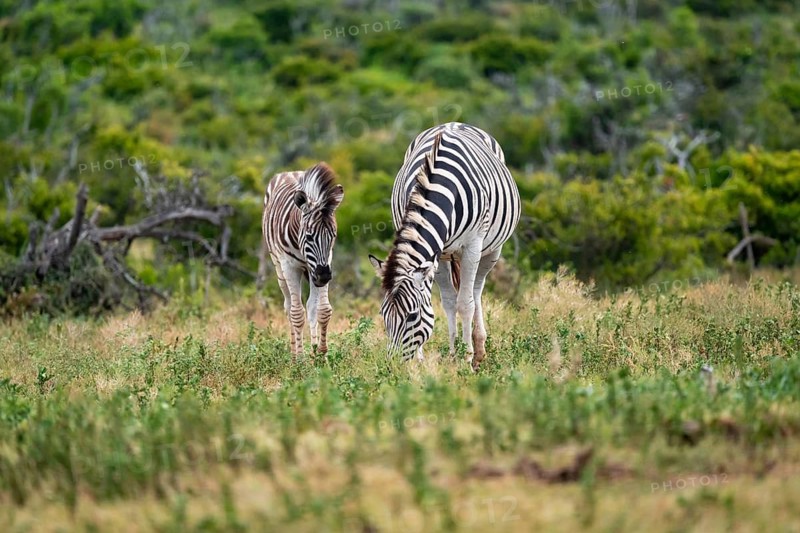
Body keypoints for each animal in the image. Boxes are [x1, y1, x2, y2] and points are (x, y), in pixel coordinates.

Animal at [262, 163, 344, 358]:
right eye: (309, 236)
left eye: (333, 236)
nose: (324, 276)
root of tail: (289, 172)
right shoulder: (289, 266)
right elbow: (297, 313)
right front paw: (300, 359)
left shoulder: (326, 261)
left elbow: (323, 310)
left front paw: (321, 355)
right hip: (279, 267)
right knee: (288, 307)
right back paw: (294, 355)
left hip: (311, 270)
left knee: (311, 307)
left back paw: (313, 350)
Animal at [368, 123, 520, 370]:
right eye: (383, 314)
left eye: (412, 316)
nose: (393, 367)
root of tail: (456, 123)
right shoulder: (436, 255)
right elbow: (448, 303)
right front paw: (445, 356)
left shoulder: (472, 245)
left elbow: (465, 303)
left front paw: (466, 357)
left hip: (491, 250)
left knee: (476, 290)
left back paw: (479, 349)